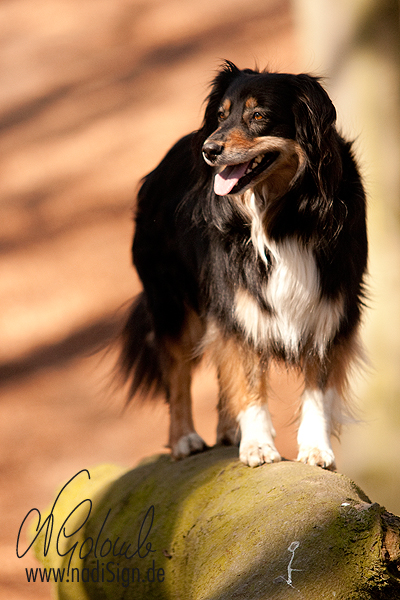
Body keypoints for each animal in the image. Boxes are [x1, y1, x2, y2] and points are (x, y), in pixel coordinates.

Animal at [120, 61, 368, 468]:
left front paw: (316, 448)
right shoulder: (237, 301)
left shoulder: (331, 305)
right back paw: (184, 439)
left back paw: (227, 430)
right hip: (172, 303)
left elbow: (319, 389)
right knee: (177, 372)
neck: (283, 213)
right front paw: (257, 445)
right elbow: (246, 376)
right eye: (221, 116)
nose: (209, 149)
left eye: (258, 116)